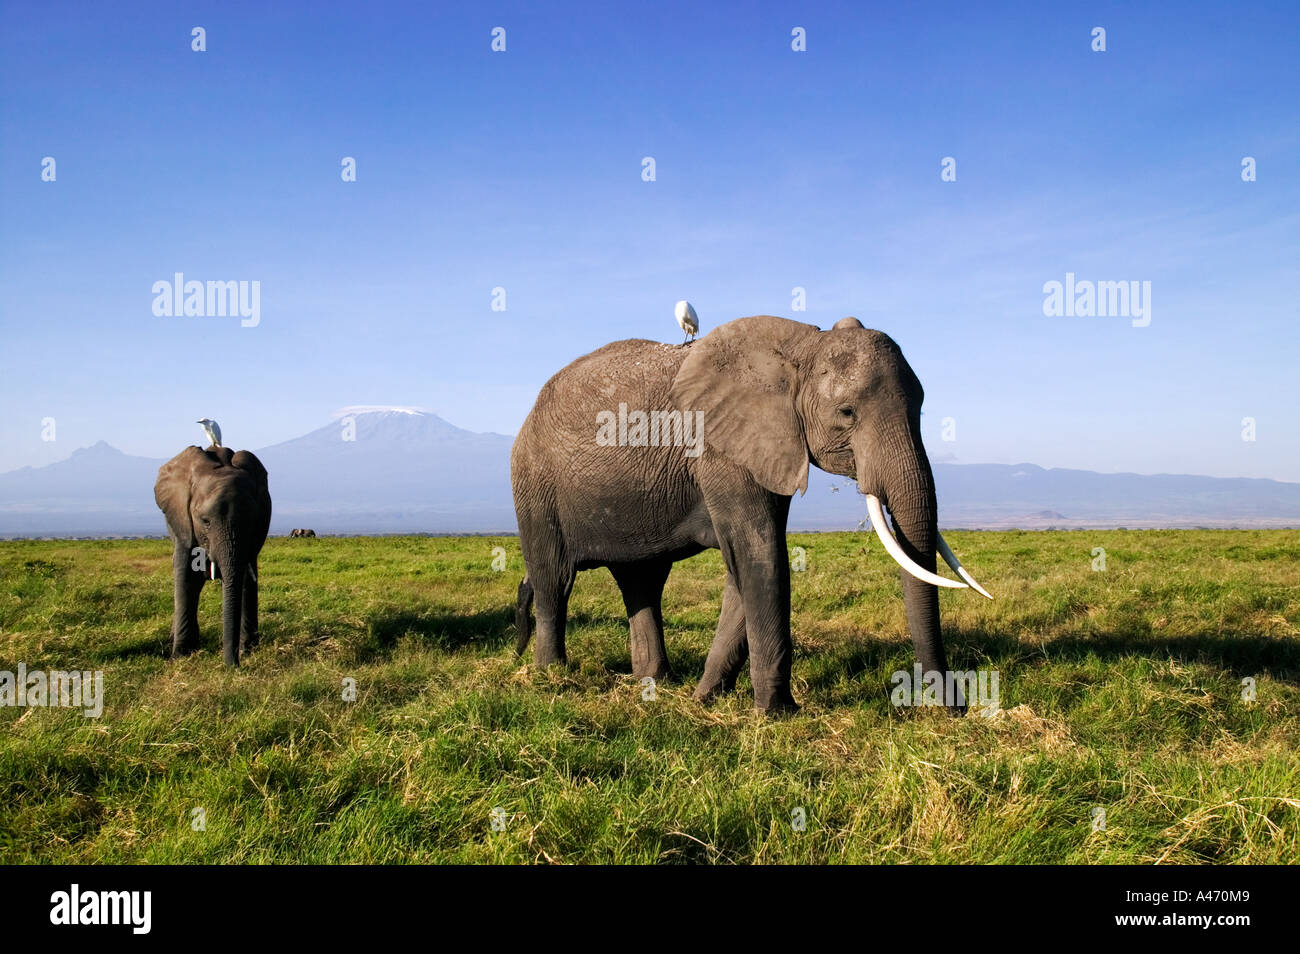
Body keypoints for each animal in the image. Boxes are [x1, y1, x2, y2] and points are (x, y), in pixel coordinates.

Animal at [154, 447, 271, 665]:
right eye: (205, 521)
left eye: (252, 520)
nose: (234, 666)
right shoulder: (184, 523)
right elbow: (186, 576)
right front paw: (179, 657)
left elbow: (245, 578)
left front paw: (248, 651)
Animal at [512, 317, 987, 712]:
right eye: (847, 412)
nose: (956, 708)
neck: (800, 350)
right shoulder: (723, 449)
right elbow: (762, 555)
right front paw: (776, 714)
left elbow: (745, 565)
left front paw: (705, 699)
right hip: (534, 485)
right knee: (554, 579)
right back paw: (550, 675)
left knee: (642, 581)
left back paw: (656, 683)